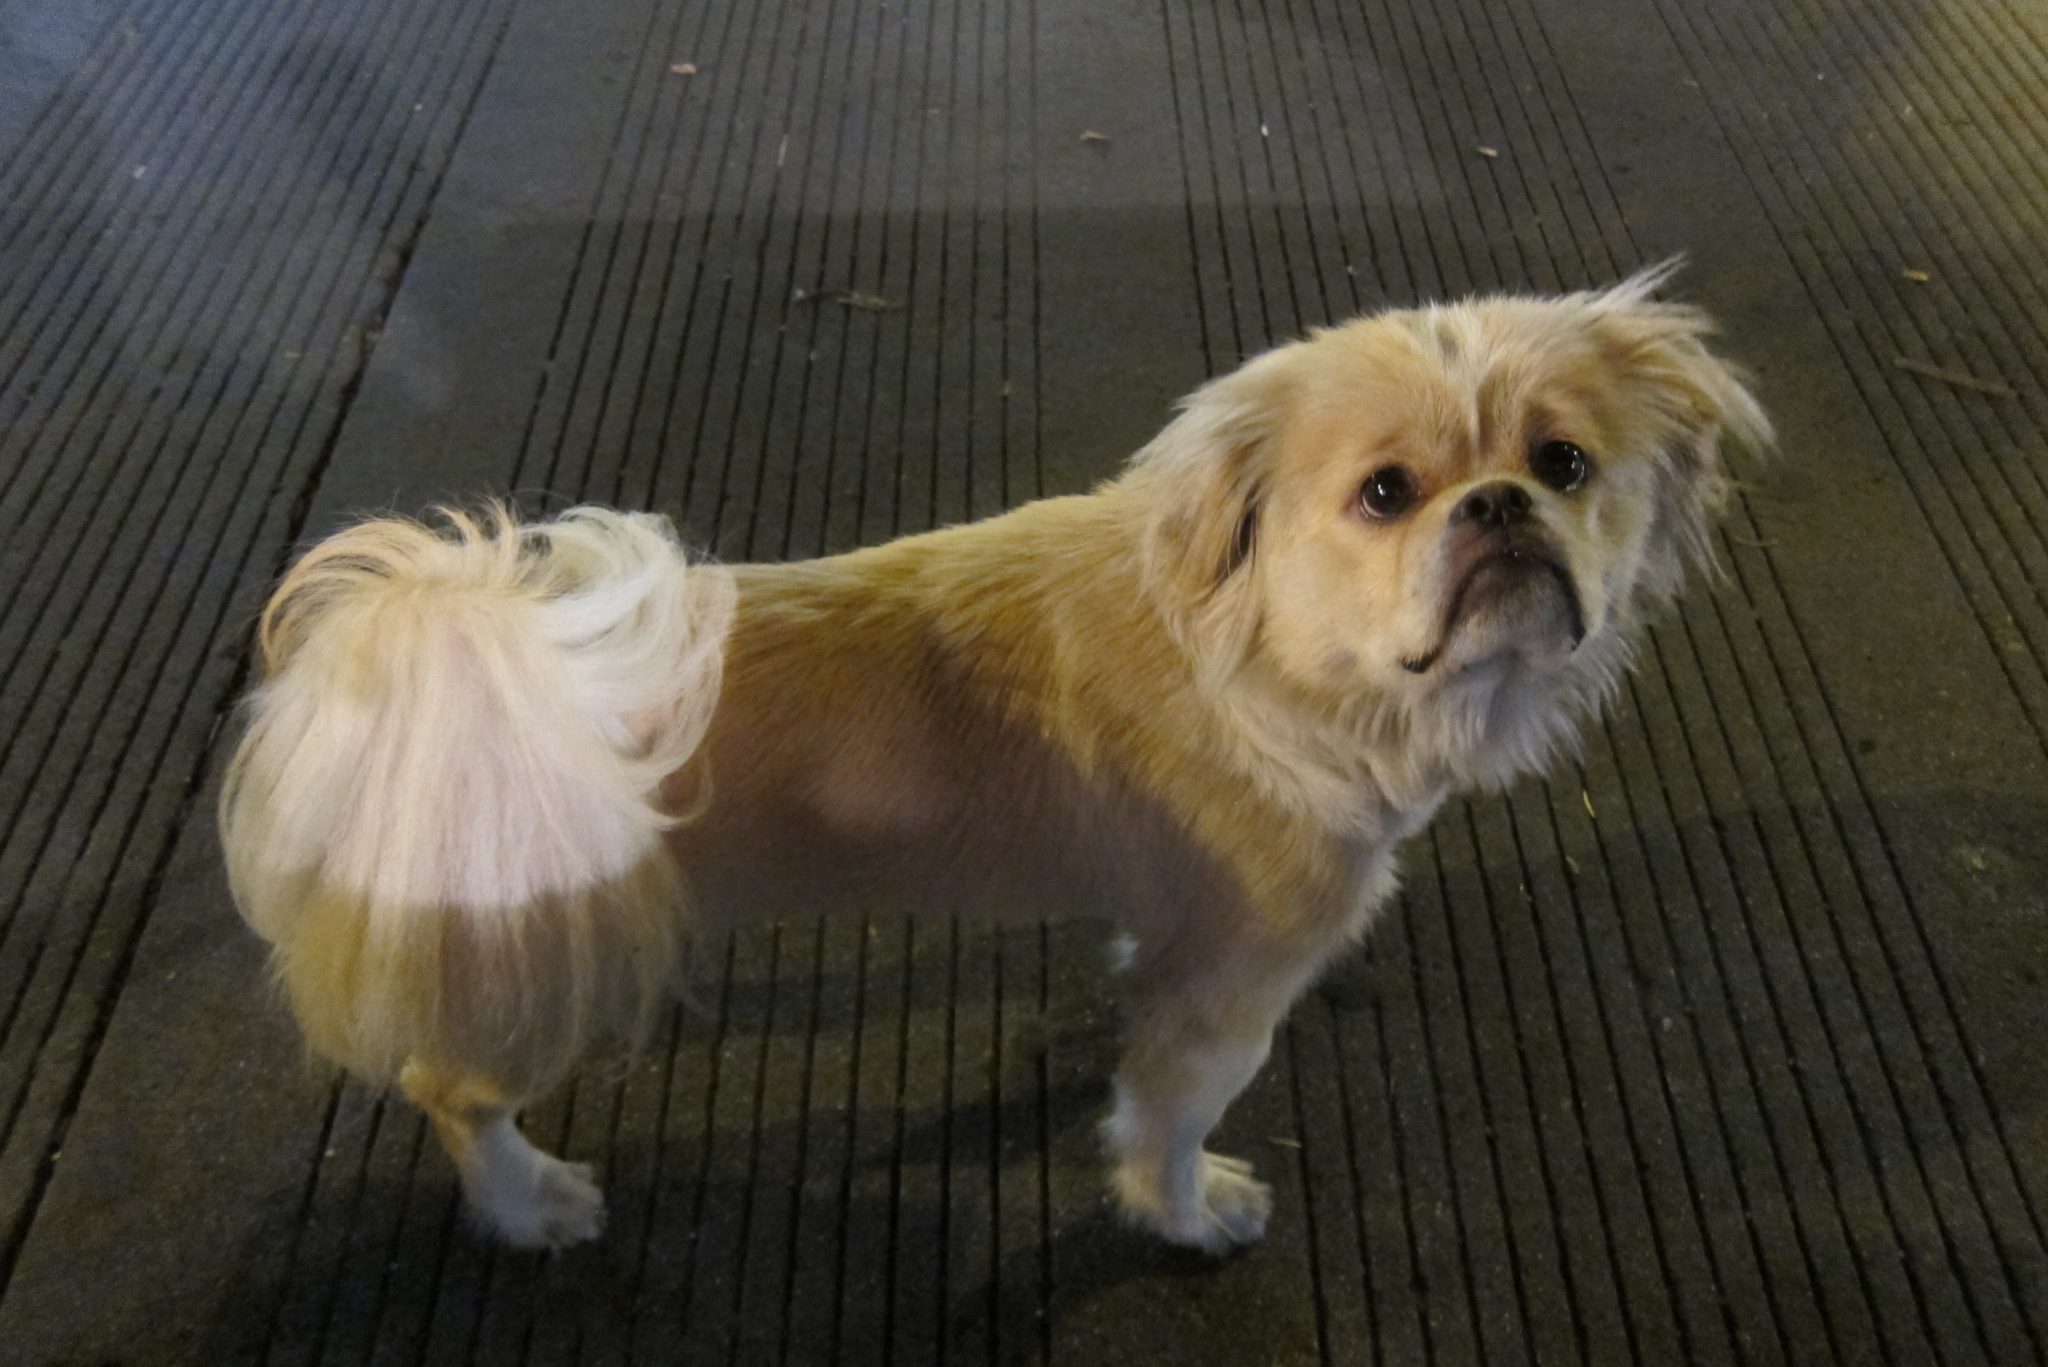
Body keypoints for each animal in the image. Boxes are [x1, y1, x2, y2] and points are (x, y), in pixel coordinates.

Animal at [220, 264, 1768, 1254]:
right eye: (1386, 494)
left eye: (1563, 464)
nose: (1495, 506)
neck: (1272, 662)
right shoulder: (1229, 986)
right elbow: (1164, 1120)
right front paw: (1189, 1215)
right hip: (553, 975)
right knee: (448, 1088)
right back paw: (533, 1205)